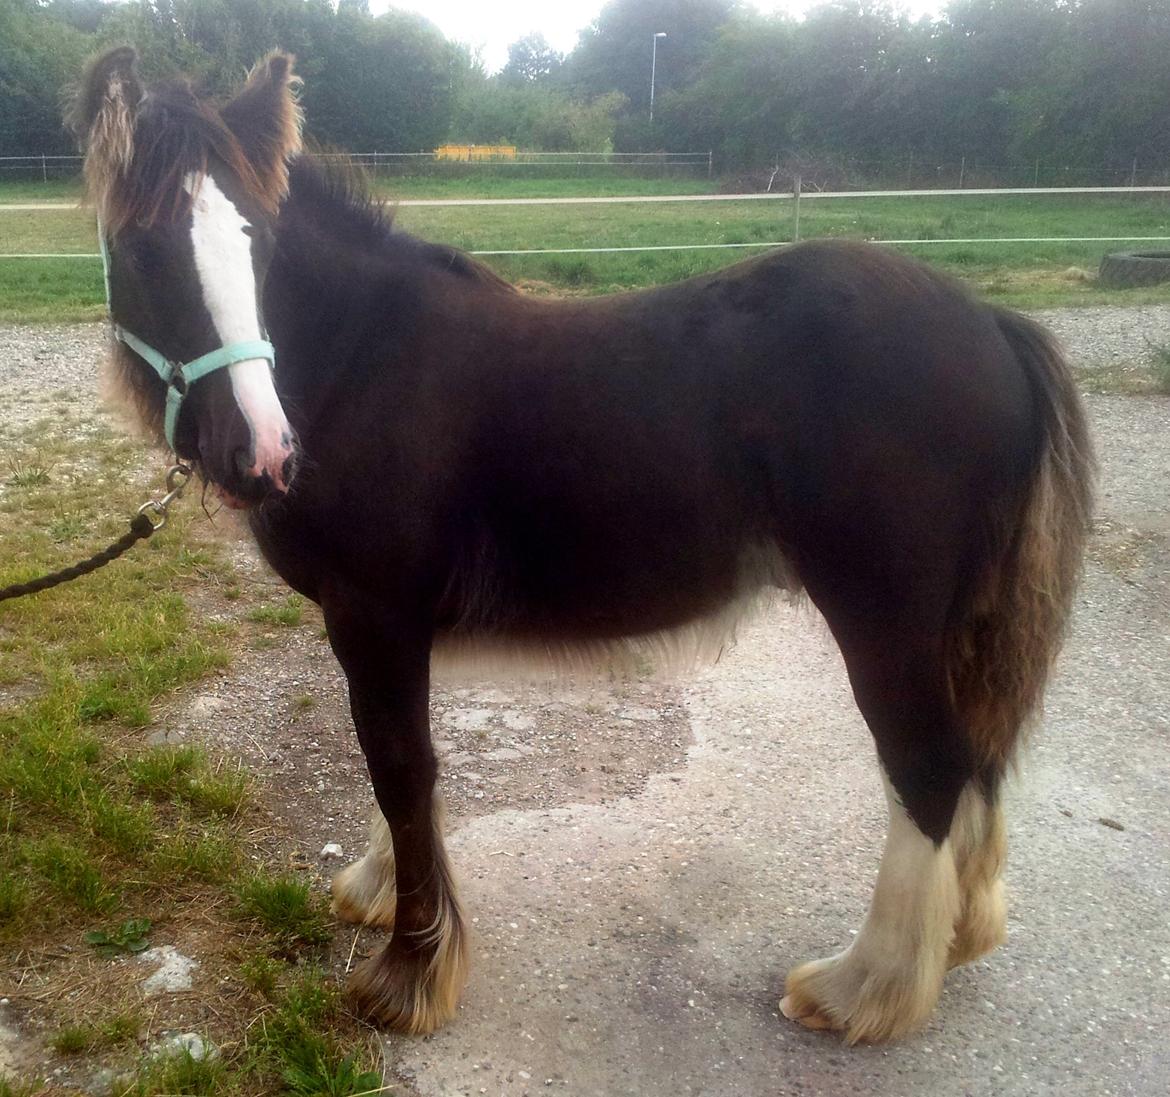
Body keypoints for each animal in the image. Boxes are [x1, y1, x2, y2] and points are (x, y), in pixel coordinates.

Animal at [70, 49, 1095, 1043]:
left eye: (261, 246)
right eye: (147, 249)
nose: (261, 452)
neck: (364, 358)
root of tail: (992, 323)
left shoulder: (374, 615)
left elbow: (400, 768)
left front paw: (409, 973)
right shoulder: (386, 629)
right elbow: (402, 770)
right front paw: (380, 892)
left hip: (884, 621)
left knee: (928, 768)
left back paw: (865, 988)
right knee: (973, 763)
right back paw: (953, 939)